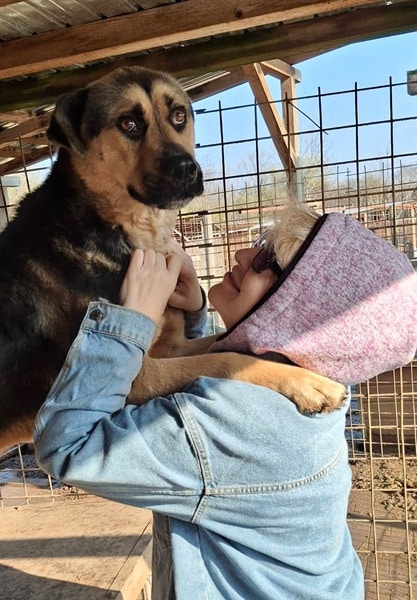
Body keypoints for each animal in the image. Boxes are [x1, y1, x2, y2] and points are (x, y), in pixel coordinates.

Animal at [0, 67, 346, 455]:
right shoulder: (135, 376)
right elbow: (225, 359)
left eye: (179, 115)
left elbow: (226, 341)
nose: (186, 169)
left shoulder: (169, 347)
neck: (124, 228)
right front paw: (305, 381)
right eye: (128, 123)